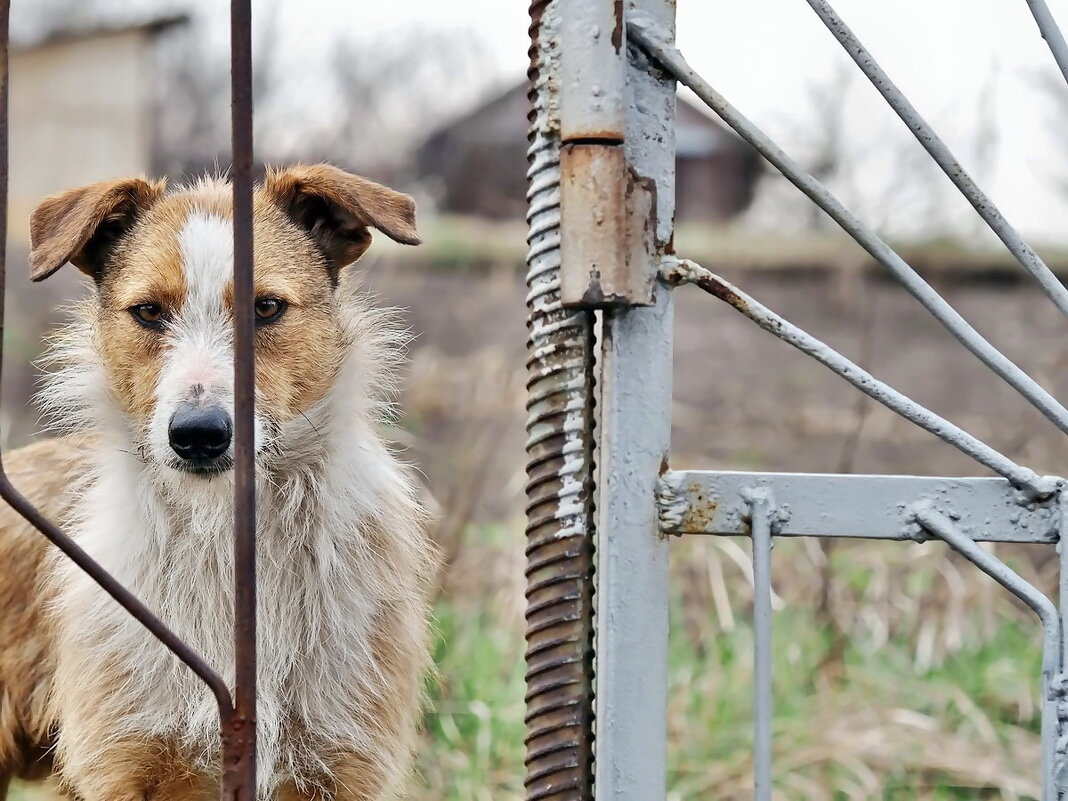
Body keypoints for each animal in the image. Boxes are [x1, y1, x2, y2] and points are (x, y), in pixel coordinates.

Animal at [0, 164, 437, 801]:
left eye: (267, 307)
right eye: (149, 312)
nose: (199, 435)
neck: (222, 534)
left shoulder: (343, 764)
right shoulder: (126, 763)